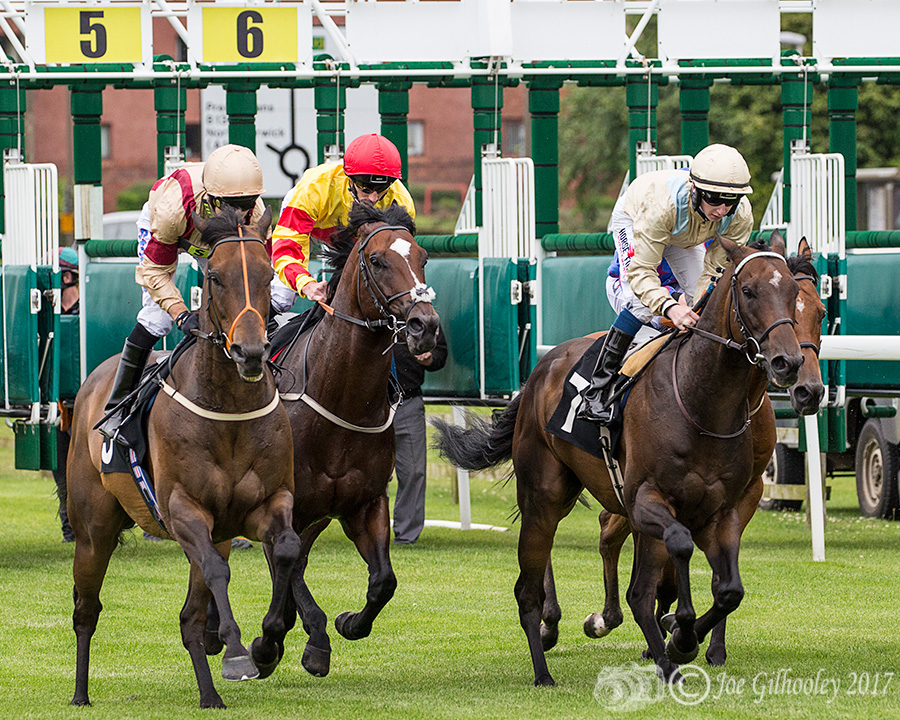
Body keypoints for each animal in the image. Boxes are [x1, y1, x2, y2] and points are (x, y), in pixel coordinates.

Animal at [66, 206, 301, 709]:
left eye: (268, 273)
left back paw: (210, 694)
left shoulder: (266, 505)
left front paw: (267, 643)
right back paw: (79, 693)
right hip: (93, 530)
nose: (250, 351)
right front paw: (237, 652)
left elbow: (288, 549)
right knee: (86, 609)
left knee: (189, 620)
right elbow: (216, 570)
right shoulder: (185, 511)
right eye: (214, 276)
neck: (228, 410)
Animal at [270, 202, 440, 678]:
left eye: (422, 257)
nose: (424, 325)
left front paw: (348, 623)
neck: (341, 399)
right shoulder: (286, 505)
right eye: (378, 261)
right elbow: (286, 569)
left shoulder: (364, 502)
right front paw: (303, 642)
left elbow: (384, 580)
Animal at [435, 236, 804, 685]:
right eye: (748, 291)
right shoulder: (646, 500)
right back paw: (544, 668)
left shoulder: (725, 510)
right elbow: (677, 547)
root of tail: (539, 371)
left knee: (632, 587)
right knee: (528, 587)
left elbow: (727, 590)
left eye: (795, 291)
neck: (701, 402)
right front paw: (680, 632)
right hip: (544, 494)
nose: (789, 362)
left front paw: (683, 640)